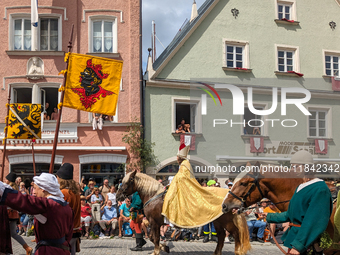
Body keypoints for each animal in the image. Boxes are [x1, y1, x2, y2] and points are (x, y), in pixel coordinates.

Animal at [117, 170, 252, 255]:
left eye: (126, 182)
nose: (118, 196)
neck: (153, 195)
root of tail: (230, 196)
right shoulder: (154, 223)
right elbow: (151, 237)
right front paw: (165, 247)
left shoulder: (154, 223)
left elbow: (155, 238)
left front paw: (157, 251)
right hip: (217, 222)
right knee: (222, 236)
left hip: (226, 221)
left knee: (236, 234)